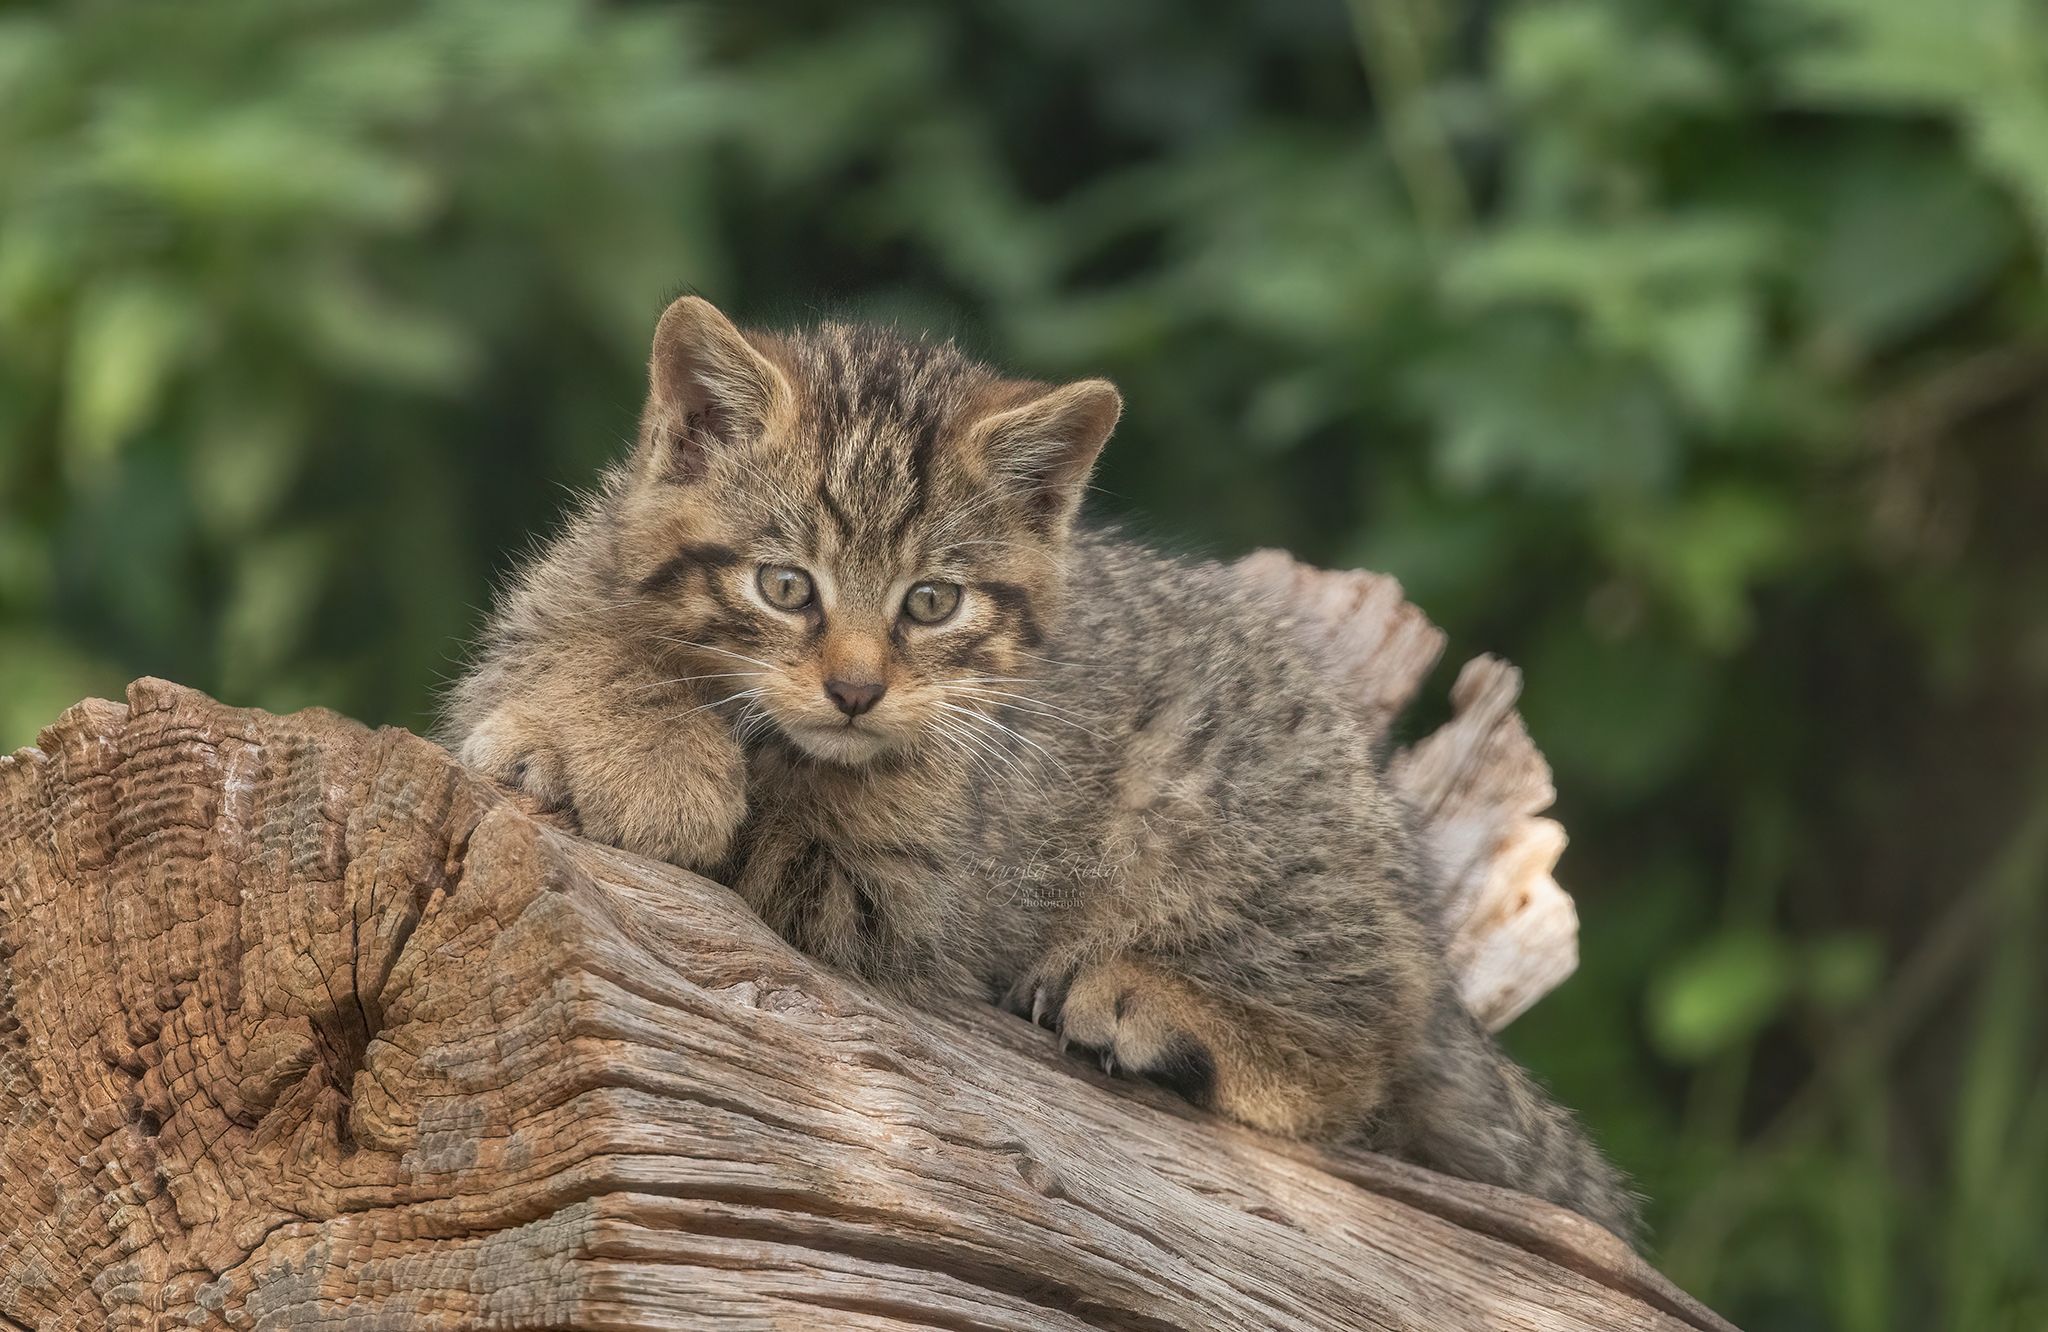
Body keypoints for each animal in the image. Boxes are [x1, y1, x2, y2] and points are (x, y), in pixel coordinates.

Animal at [440, 299, 1638, 1237]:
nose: (856, 689)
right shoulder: (539, 625)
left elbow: (785, 831)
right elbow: (590, 656)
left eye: (932, 602)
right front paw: (627, 741)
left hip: (1236, 838)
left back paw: (1153, 1005)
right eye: (785, 586)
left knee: (1362, 1063)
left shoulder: (898, 897)